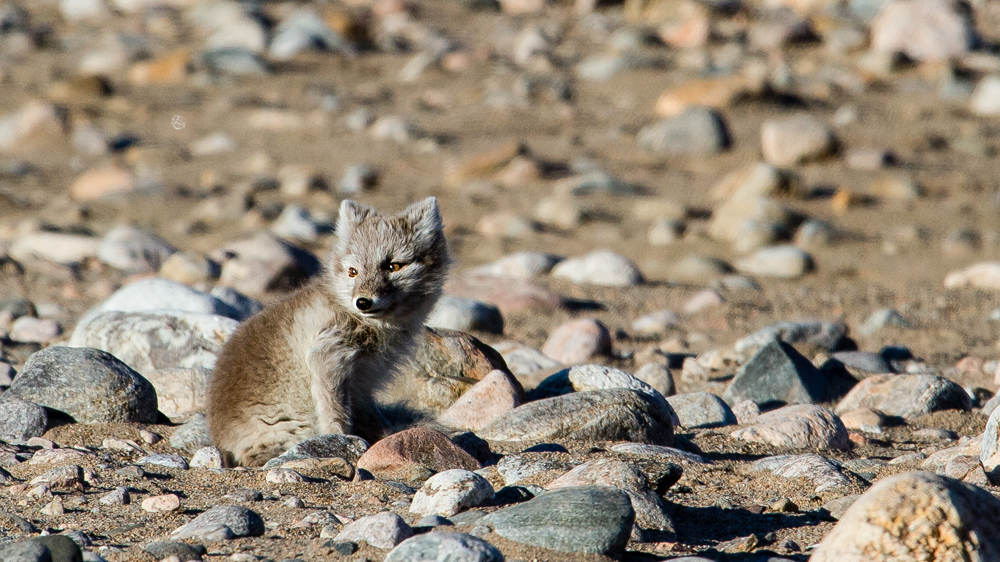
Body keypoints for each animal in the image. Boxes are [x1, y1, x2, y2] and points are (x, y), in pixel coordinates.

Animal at [209, 195, 452, 466]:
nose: (363, 302)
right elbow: (334, 410)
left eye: (393, 266)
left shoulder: (360, 383)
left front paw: (388, 433)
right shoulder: (327, 354)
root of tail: (222, 440)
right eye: (353, 272)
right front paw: (342, 439)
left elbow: (370, 413)